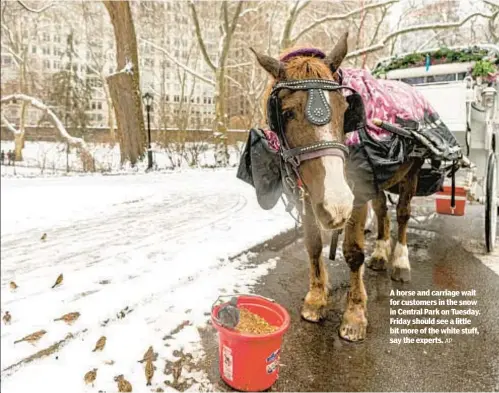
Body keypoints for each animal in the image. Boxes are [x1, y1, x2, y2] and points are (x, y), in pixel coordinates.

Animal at [250, 32, 454, 342]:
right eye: (285, 113)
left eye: (345, 109)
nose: (337, 204)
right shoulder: (309, 193)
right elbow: (313, 245)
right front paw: (316, 299)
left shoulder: (356, 194)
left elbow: (353, 252)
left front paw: (355, 314)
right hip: (376, 179)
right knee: (382, 210)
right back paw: (380, 252)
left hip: (412, 169)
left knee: (403, 213)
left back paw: (400, 261)